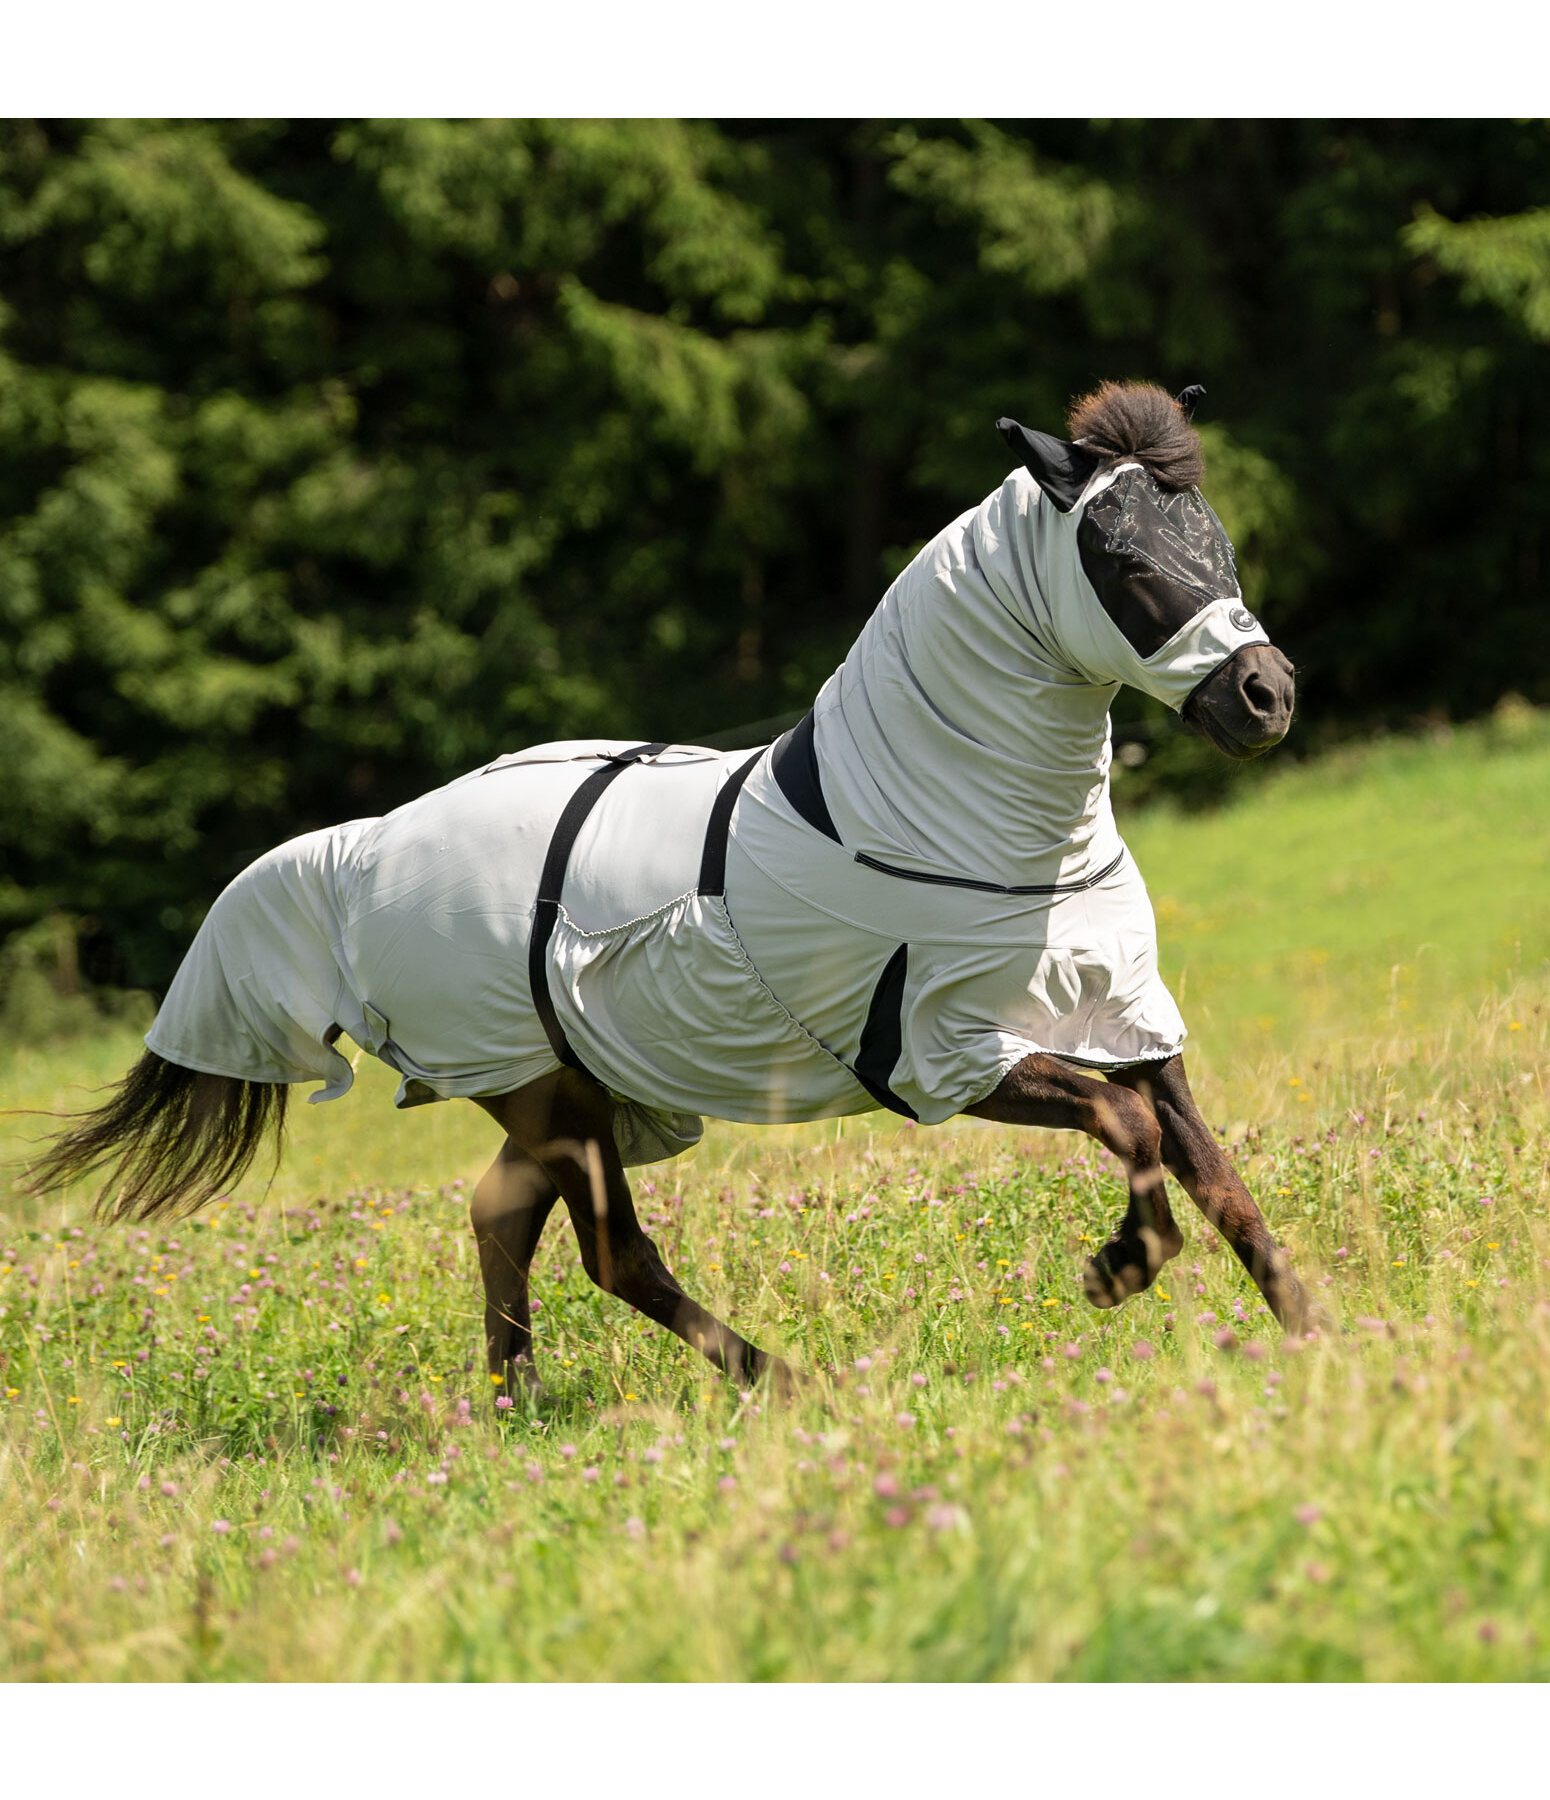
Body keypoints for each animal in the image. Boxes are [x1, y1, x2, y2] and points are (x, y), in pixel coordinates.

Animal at [27, 379, 1303, 1396]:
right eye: (1122, 560)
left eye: (1219, 541)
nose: (1265, 696)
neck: (946, 820)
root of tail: (361, 850)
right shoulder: (950, 1058)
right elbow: (1127, 1134)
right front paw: (1115, 1269)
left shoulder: (1128, 1023)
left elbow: (1217, 1178)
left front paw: (1316, 1343)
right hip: (546, 1092)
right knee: (610, 1254)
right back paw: (782, 1386)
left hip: (565, 1093)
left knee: (502, 1214)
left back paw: (514, 1408)